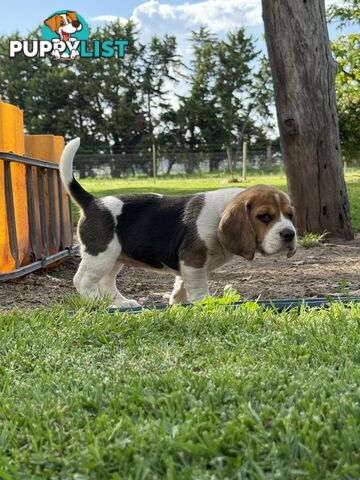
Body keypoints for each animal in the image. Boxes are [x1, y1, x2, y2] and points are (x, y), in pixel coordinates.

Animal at [59, 139, 298, 308]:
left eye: (290, 215)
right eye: (264, 216)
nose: (290, 234)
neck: (220, 213)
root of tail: (93, 202)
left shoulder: (187, 265)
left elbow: (181, 285)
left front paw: (177, 304)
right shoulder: (193, 260)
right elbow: (198, 286)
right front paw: (206, 302)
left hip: (115, 256)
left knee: (107, 282)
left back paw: (121, 304)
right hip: (101, 254)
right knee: (83, 280)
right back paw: (97, 303)